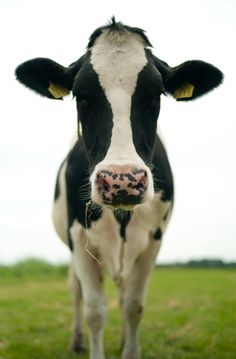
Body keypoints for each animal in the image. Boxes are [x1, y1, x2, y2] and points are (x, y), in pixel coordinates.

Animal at [15, 18, 222, 359]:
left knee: (124, 294)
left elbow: (134, 306)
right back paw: (76, 341)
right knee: (75, 290)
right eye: (81, 96)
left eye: (155, 95)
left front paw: (131, 349)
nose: (121, 180)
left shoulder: (153, 241)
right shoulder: (78, 238)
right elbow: (95, 311)